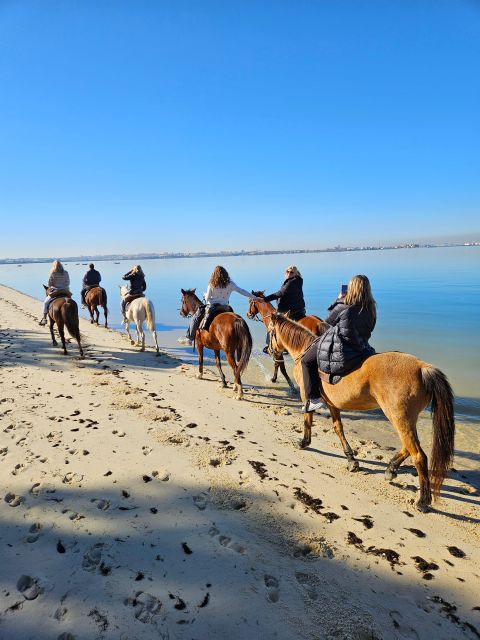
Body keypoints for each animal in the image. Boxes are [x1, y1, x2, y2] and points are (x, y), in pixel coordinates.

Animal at [268, 312, 456, 512]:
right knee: (408, 447)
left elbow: (308, 420)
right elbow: (338, 429)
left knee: (419, 455)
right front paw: (351, 459)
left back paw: (423, 500)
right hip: (405, 419)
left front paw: (304, 442)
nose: (267, 349)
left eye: (271, 331)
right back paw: (391, 469)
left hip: (399, 417)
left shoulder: (307, 397)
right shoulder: (333, 405)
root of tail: (422, 367)